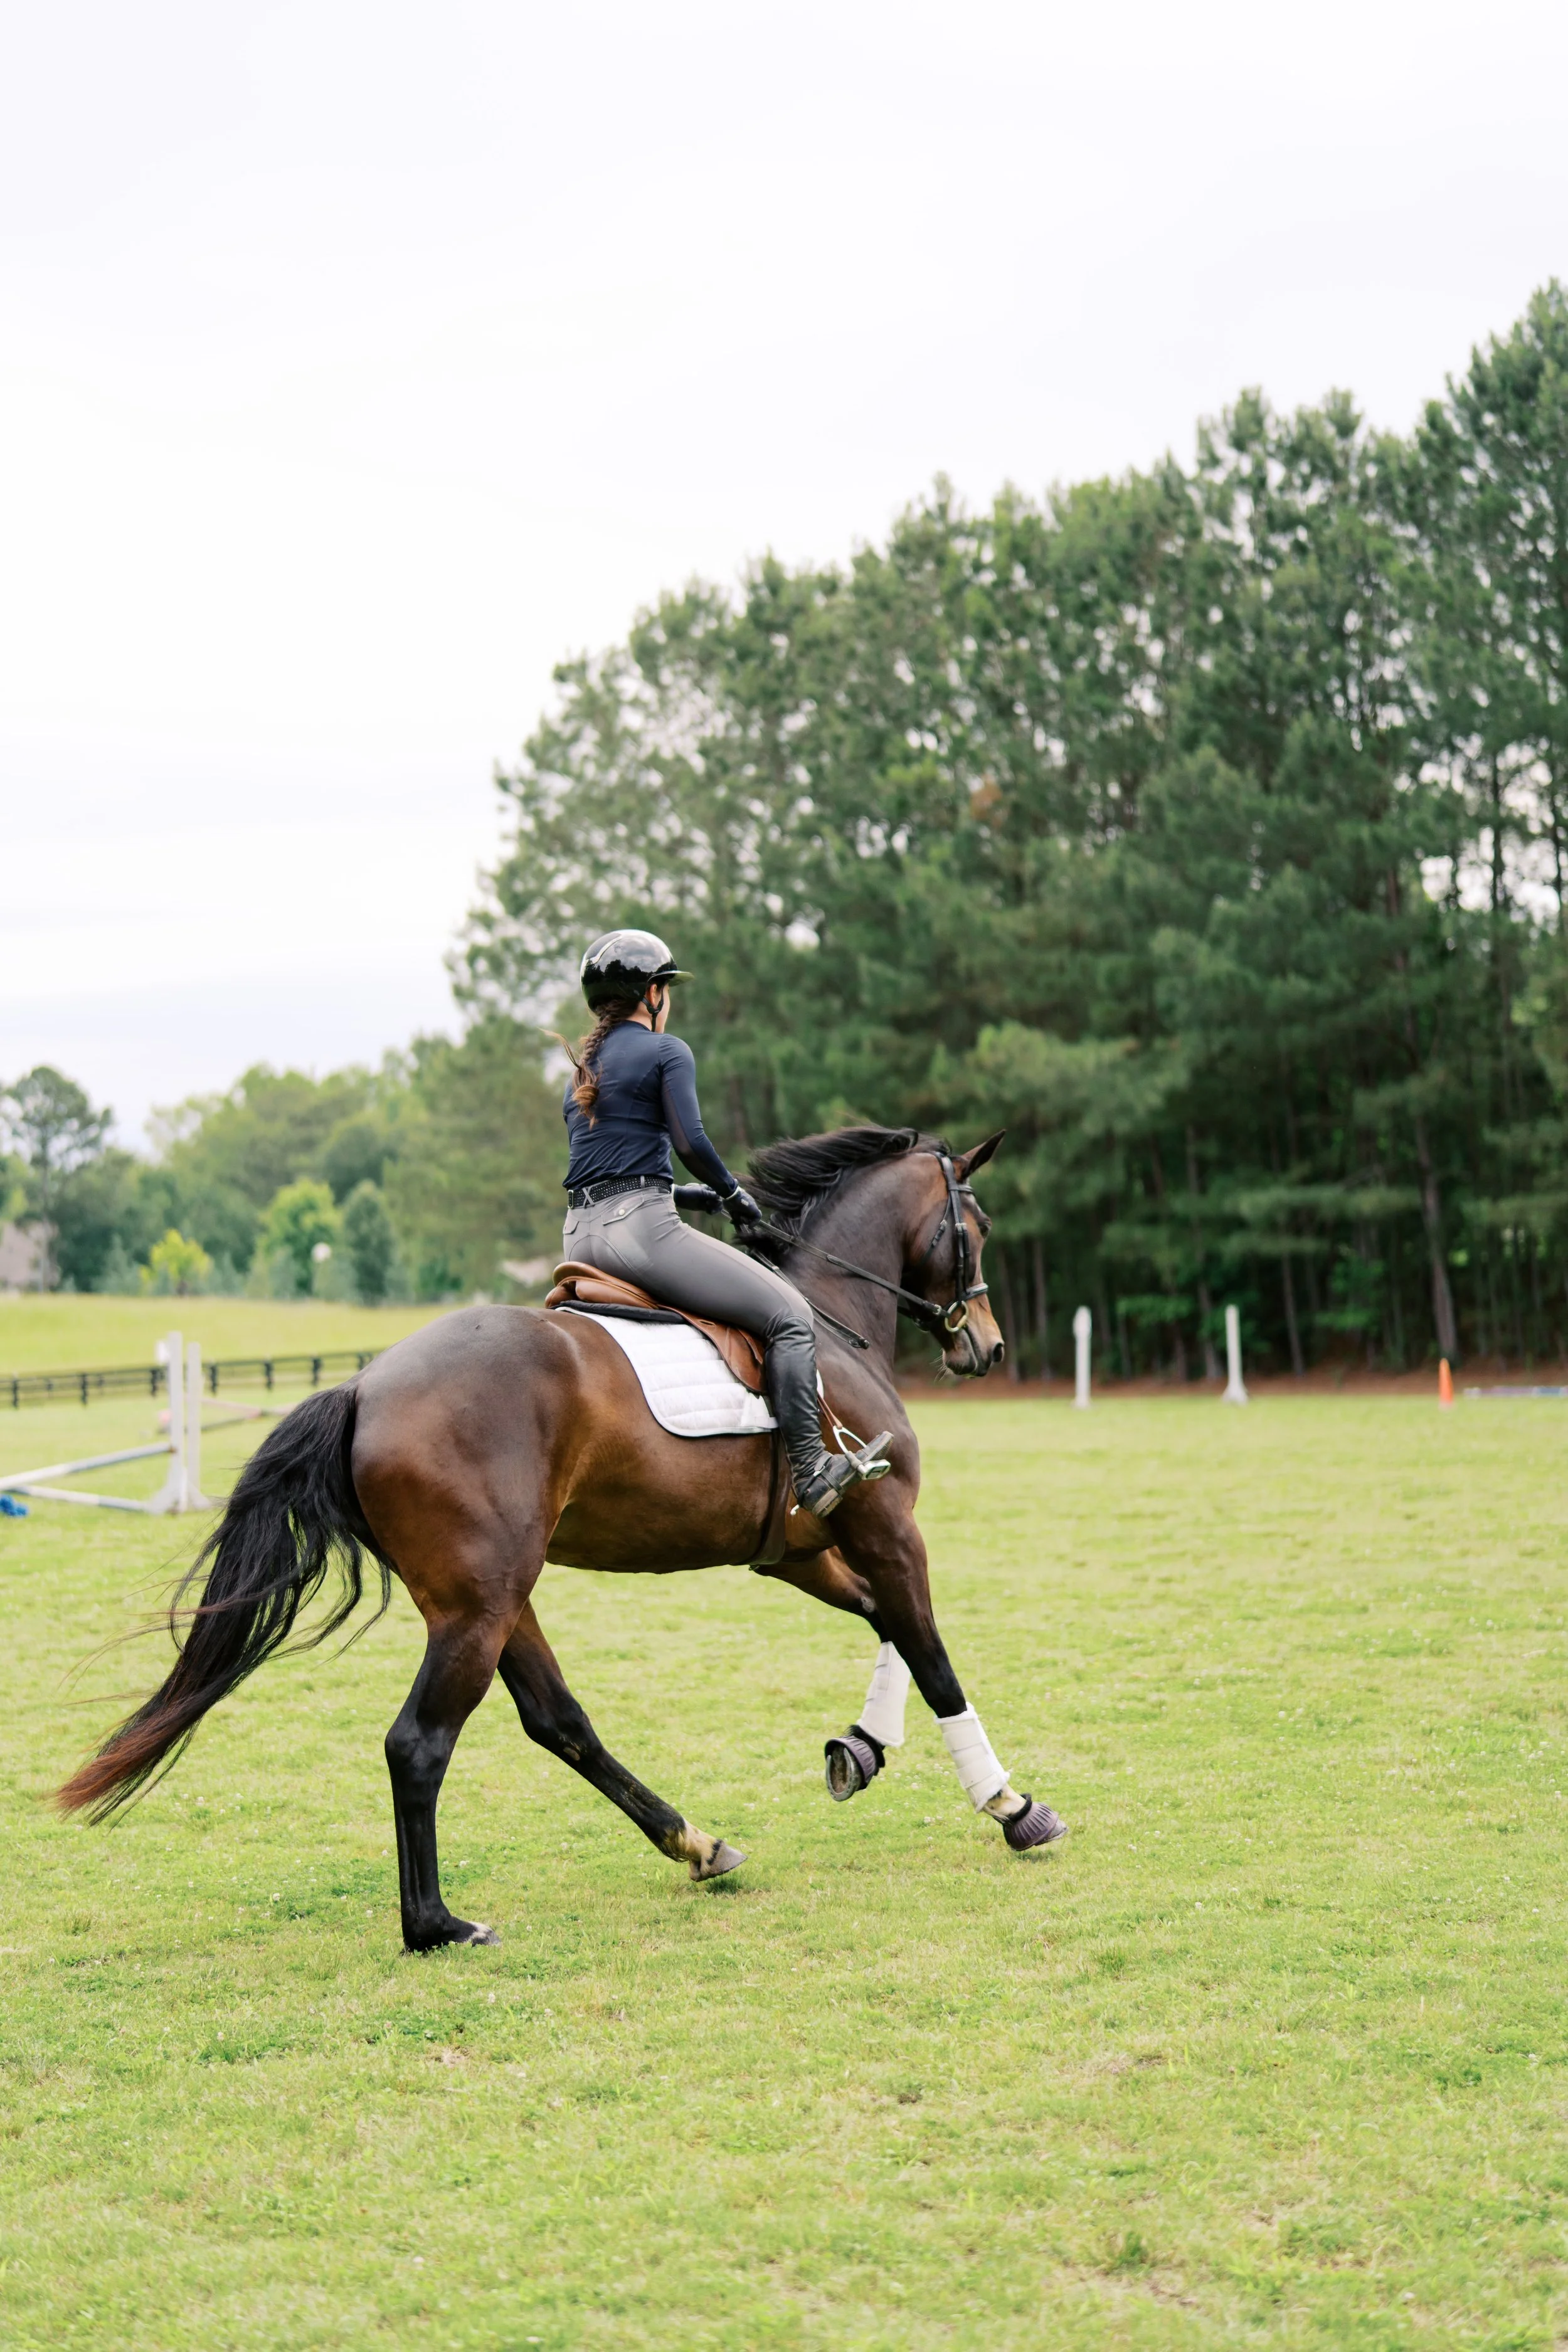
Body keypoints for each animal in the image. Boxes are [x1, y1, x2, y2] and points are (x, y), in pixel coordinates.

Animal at [58, 1125, 1067, 1947]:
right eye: (975, 1227)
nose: (985, 1345)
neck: (825, 1321)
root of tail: (364, 1390)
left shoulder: (799, 1551)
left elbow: (889, 1625)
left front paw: (861, 1747)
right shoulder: (884, 1523)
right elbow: (932, 1652)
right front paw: (1010, 1804)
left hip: (496, 1596)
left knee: (558, 1721)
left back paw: (694, 1842)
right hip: (479, 1606)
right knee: (419, 1743)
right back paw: (437, 1925)